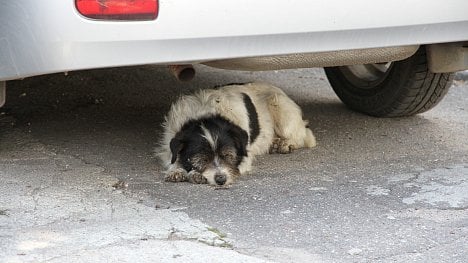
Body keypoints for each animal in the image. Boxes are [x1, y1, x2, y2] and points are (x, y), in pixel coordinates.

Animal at [156, 82, 314, 186]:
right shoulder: (169, 141)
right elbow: (173, 159)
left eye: (228, 155)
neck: (205, 115)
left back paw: (285, 143)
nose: (221, 180)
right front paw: (176, 170)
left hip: (280, 108)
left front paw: (194, 174)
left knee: (303, 135)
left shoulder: (244, 157)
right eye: (201, 159)